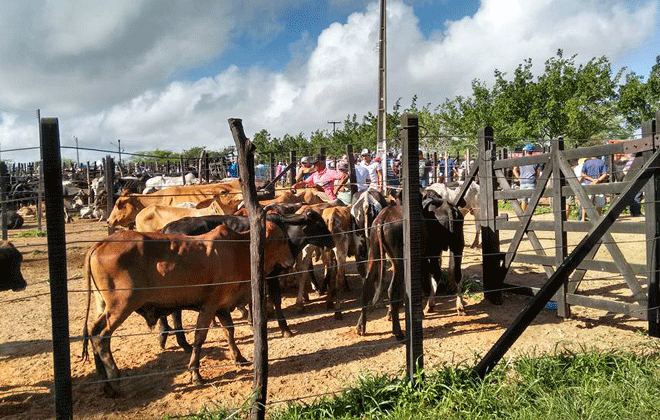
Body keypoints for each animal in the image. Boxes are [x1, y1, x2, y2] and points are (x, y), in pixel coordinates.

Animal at [81, 221, 292, 396]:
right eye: (282, 239)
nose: (291, 260)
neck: (239, 249)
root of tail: (100, 243)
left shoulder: (222, 307)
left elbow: (229, 331)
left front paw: (239, 357)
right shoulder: (209, 306)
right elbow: (199, 338)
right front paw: (195, 373)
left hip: (103, 305)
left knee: (93, 331)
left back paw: (105, 385)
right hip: (122, 305)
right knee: (102, 337)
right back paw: (114, 378)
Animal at [157, 210, 336, 352]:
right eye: (319, 224)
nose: (332, 241)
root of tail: (167, 228)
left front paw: (253, 319)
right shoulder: (271, 275)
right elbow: (274, 299)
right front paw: (284, 328)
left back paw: (164, 335)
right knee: (175, 312)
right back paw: (182, 342)